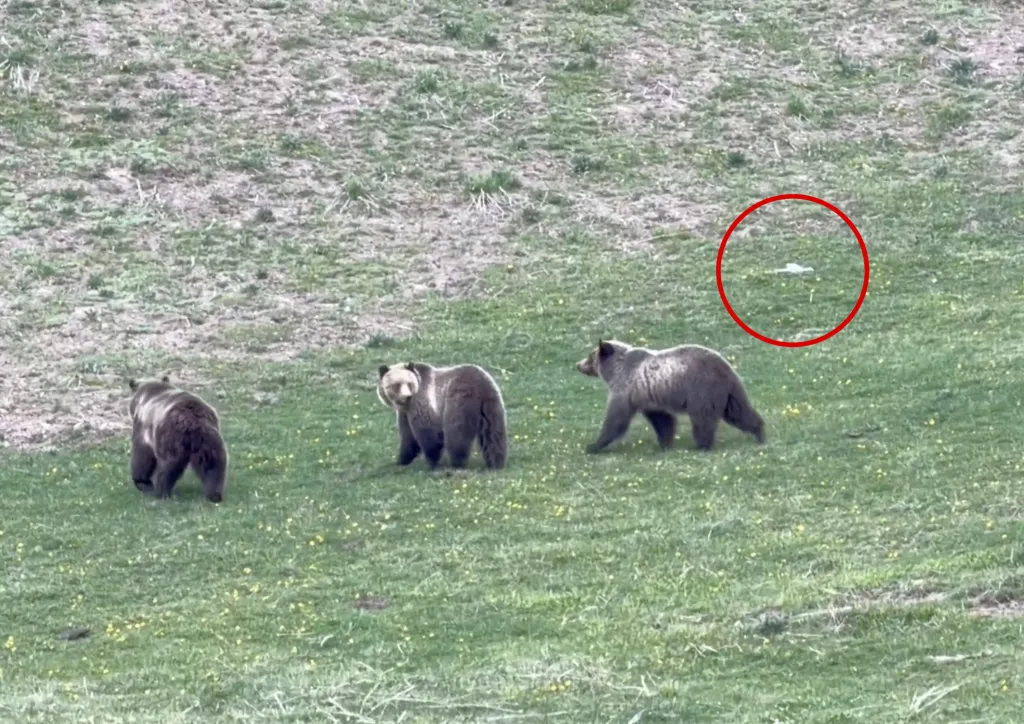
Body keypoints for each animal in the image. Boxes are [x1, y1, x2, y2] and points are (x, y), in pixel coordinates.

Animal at [376, 361, 508, 470]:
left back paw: (456, 462)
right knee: (493, 434)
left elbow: (427, 432)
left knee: (456, 433)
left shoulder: (421, 401)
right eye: (396, 385)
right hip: (492, 404)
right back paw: (496, 462)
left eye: (409, 383)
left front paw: (431, 462)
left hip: (458, 400)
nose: (406, 396)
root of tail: (481, 386)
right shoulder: (405, 413)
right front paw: (402, 460)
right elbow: (408, 436)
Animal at [575, 339, 766, 454]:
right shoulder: (648, 397)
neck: (615, 370)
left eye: (590, 356)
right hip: (730, 393)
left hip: (701, 390)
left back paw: (701, 445)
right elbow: (662, 420)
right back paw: (760, 433)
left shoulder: (626, 390)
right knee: (739, 412)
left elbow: (616, 418)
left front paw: (593, 445)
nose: (578, 364)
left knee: (702, 419)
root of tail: (726, 367)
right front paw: (665, 443)